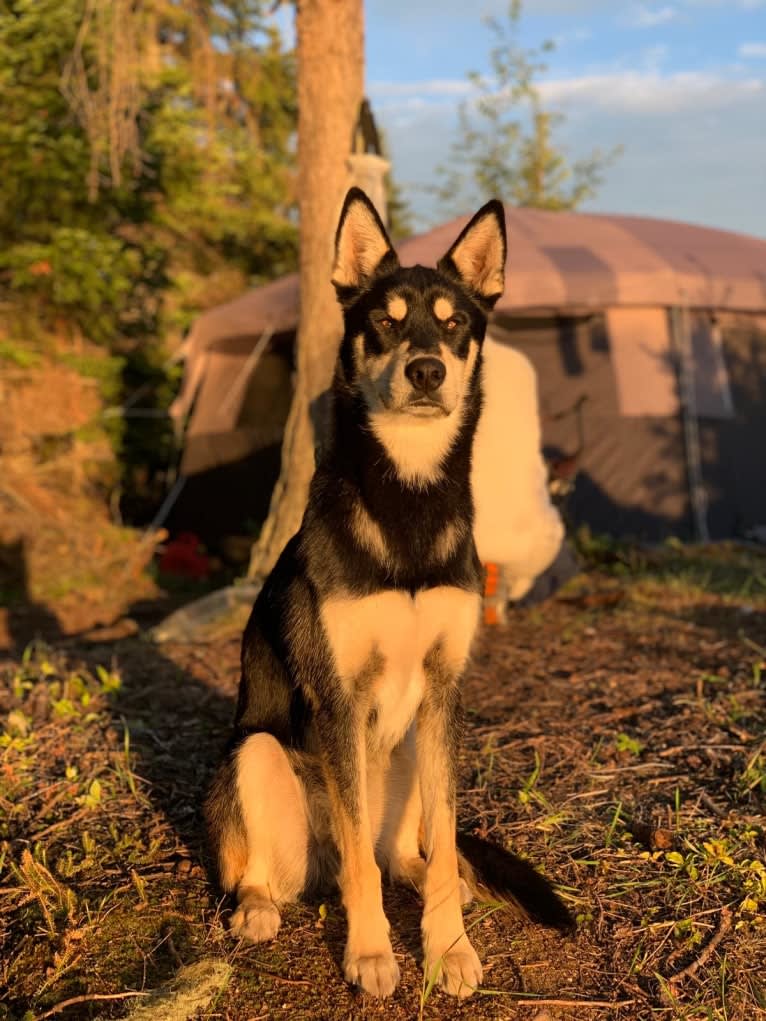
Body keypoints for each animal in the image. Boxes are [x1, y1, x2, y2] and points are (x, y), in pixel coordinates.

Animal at [205, 189, 576, 996]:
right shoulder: (340, 697)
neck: (408, 495)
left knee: (407, 854)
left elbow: (437, 849)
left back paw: (435, 873)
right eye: (385, 320)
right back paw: (257, 907)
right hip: (255, 751)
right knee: (291, 866)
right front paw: (373, 953)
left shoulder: (441, 692)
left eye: (454, 323)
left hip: (408, 754)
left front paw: (450, 949)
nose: (428, 370)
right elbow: (356, 873)